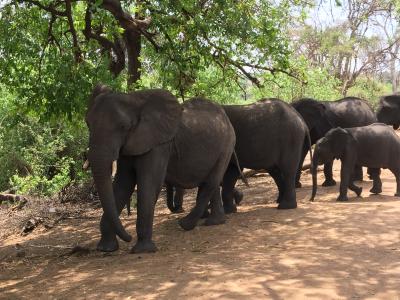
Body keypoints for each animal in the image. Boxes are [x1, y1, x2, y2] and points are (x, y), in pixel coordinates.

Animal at [84, 84, 234, 253]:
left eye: (124, 127)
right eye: (87, 123)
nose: (128, 237)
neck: (134, 100)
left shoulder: (158, 144)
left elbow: (149, 183)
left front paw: (143, 250)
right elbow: (122, 184)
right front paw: (106, 248)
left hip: (227, 145)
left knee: (211, 181)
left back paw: (185, 224)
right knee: (210, 182)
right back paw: (214, 222)